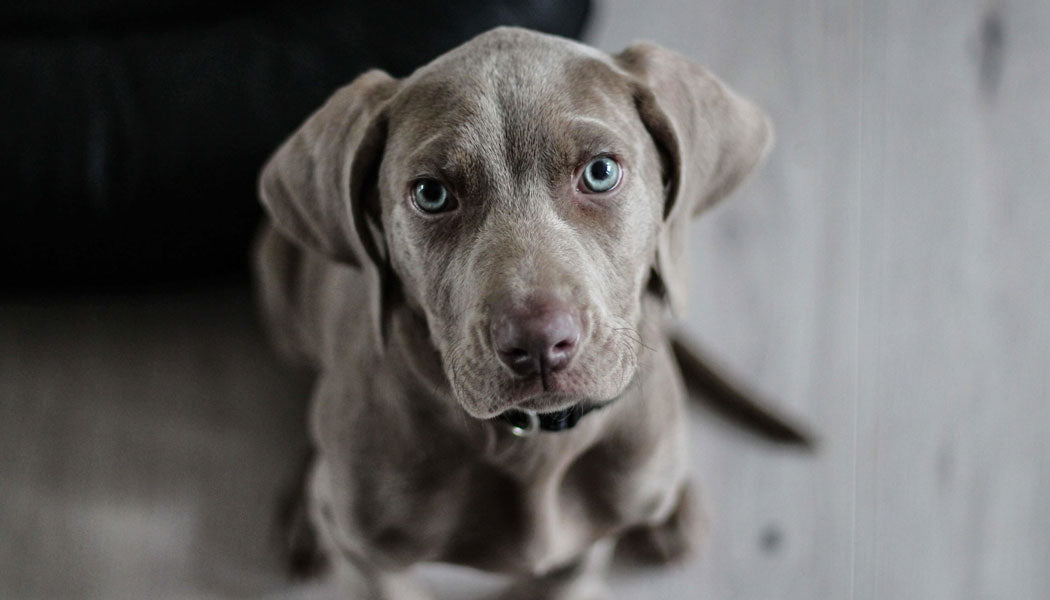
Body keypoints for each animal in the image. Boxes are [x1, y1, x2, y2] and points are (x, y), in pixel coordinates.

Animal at [255, 25, 776, 596]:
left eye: (600, 172)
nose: (538, 344)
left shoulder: (584, 551)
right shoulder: (372, 555)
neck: (533, 444)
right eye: (431, 193)